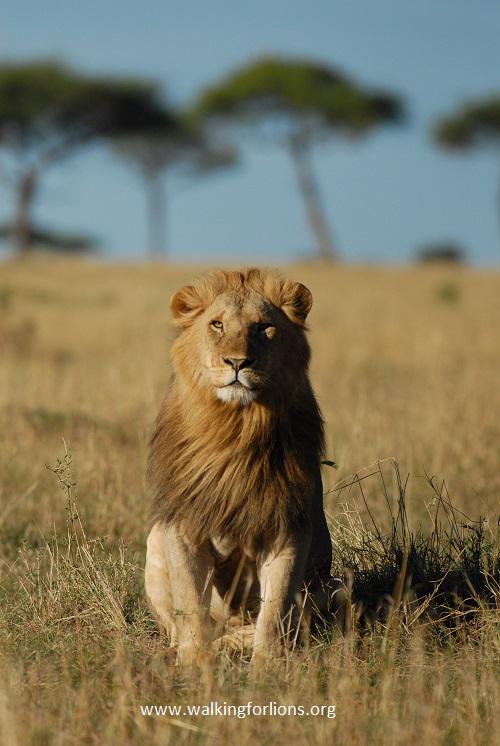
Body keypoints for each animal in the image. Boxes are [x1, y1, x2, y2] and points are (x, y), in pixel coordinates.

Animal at [145, 268, 344, 666]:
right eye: (217, 324)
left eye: (264, 327)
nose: (237, 363)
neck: (234, 430)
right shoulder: (182, 525)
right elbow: (190, 602)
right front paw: (194, 662)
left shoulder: (290, 528)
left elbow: (275, 609)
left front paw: (267, 665)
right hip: (154, 539)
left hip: (332, 588)